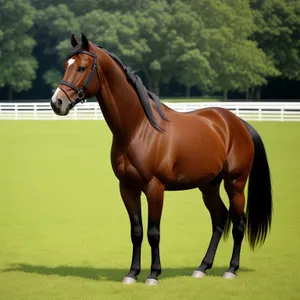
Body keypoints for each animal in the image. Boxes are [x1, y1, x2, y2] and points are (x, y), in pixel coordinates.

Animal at [51, 34, 272, 284]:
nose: (57, 102)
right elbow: (136, 232)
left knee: (238, 223)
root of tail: (238, 124)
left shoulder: (154, 187)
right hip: (208, 186)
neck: (139, 128)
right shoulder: (127, 188)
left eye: (81, 67)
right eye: (66, 65)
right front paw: (132, 273)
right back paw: (202, 268)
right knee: (219, 220)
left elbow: (153, 232)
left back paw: (231, 270)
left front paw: (153, 274)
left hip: (235, 183)